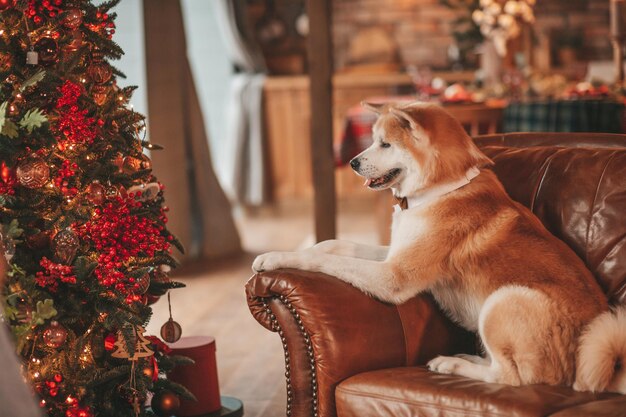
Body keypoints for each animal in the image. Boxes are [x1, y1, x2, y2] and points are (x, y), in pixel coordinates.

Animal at [251, 101, 624, 394]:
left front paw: (274, 258)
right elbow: (334, 245)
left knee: (513, 377)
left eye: (385, 144)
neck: (440, 191)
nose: (354, 162)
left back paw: (452, 365)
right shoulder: (393, 255)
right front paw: (310, 247)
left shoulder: (393, 276)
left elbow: (330, 263)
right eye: (373, 141)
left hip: (505, 299)